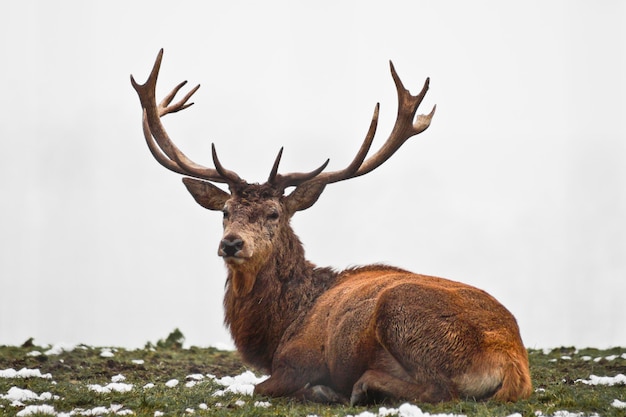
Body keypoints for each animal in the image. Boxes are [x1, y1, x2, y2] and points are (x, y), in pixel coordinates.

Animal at [129, 48, 528, 404]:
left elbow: (262, 387)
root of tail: (513, 362)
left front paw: (321, 389)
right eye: (225, 211)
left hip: (402, 313)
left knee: (440, 389)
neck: (280, 327)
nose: (231, 243)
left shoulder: (297, 361)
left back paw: (359, 387)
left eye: (274, 213)